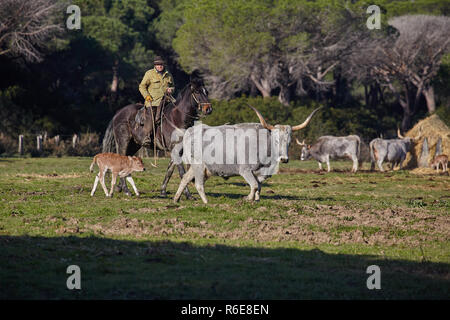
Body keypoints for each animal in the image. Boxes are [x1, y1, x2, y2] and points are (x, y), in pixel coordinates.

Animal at [171, 106, 320, 204]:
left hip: (196, 167)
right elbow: (254, 185)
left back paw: (176, 199)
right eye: (276, 140)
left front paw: (256, 199)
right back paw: (206, 201)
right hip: (199, 166)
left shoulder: (259, 173)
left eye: (289, 141)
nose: (284, 159)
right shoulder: (245, 170)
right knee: (199, 184)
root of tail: (191, 130)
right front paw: (248, 198)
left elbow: (258, 186)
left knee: (185, 178)